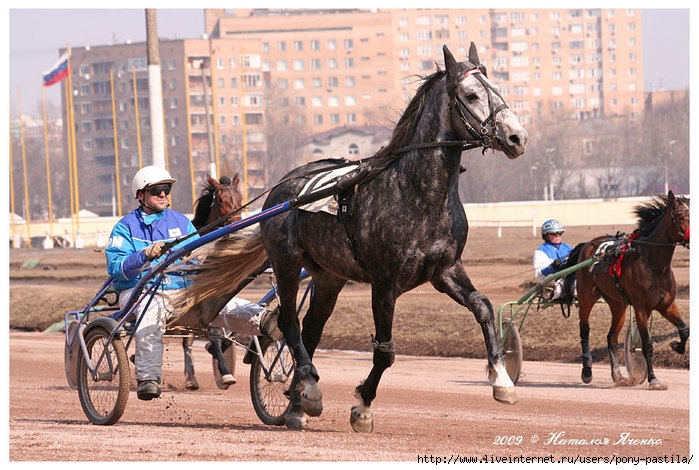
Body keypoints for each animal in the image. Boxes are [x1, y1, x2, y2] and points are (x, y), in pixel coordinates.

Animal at [564, 191, 688, 390]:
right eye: (681, 216)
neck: (654, 265)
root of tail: (588, 244)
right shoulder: (641, 309)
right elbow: (646, 345)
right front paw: (653, 379)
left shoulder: (666, 305)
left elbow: (684, 330)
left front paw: (677, 346)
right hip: (586, 298)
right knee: (584, 330)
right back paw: (587, 371)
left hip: (618, 304)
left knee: (611, 337)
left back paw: (618, 375)